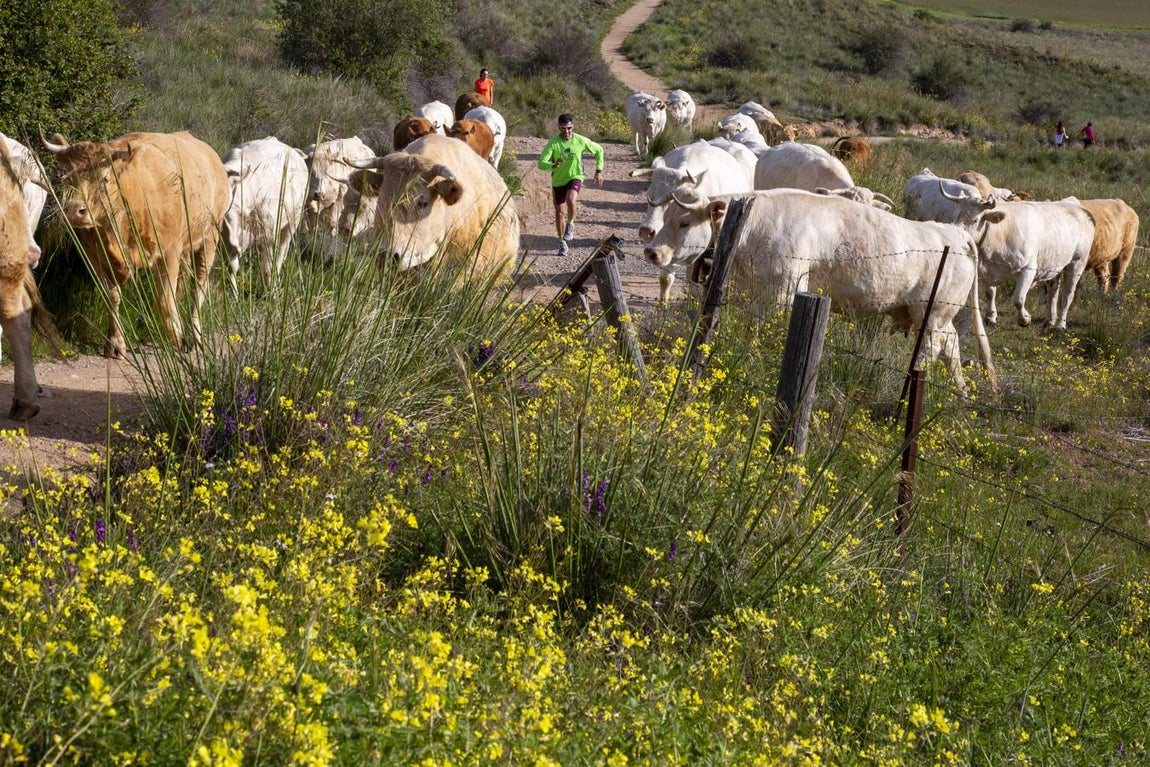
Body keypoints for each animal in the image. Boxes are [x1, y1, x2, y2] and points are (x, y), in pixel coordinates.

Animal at [42, 130, 228, 359]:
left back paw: (194, 337)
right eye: (67, 177)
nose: (74, 211)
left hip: (210, 237)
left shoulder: (170, 253)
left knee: (198, 287)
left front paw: (177, 338)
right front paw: (115, 344)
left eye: (105, 179)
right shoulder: (95, 257)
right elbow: (112, 297)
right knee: (181, 287)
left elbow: (164, 301)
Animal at [220, 136, 309, 293]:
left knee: (281, 254)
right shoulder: (226, 241)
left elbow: (267, 268)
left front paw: (271, 293)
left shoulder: (269, 236)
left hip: (293, 221)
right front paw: (234, 295)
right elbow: (231, 268)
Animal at [642, 188, 997, 394]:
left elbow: (764, 333)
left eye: (684, 222)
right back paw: (960, 391)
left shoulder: (785, 290)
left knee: (933, 349)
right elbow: (751, 330)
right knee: (951, 347)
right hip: (937, 316)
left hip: (932, 313)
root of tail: (954, 233)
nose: (652, 252)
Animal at [939, 186, 1095, 330]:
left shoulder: (1028, 269)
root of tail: (1078, 207)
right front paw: (991, 317)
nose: (954, 235)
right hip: (1054, 264)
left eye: (975, 220)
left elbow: (1018, 299)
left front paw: (1025, 319)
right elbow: (990, 293)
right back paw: (1049, 320)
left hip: (1076, 264)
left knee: (1067, 295)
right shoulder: (986, 271)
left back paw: (1060, 325)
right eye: (954, 216)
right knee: (1053, 291)